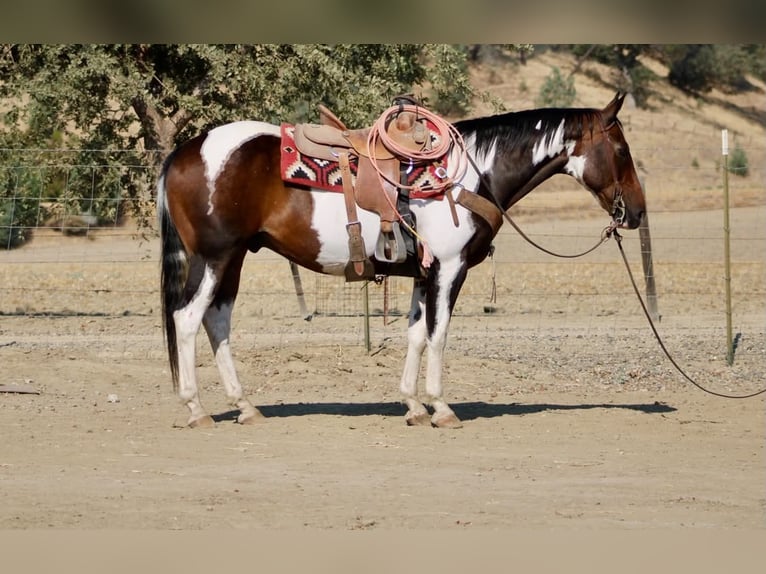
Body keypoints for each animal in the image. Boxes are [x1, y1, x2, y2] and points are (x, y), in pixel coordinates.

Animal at [157, 92, 645, 429]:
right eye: (622, 151)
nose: (637, 212)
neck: (470, 174)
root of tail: (185, 151)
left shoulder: (422, 273)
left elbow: (414, 334)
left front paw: (412, 405)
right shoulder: (449, 268)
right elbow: (438, 334)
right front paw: (441, 407)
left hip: (234, 258)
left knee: (217, 321)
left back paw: (245, 406)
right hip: (213, 256)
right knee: (187, 319)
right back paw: (196, 409)